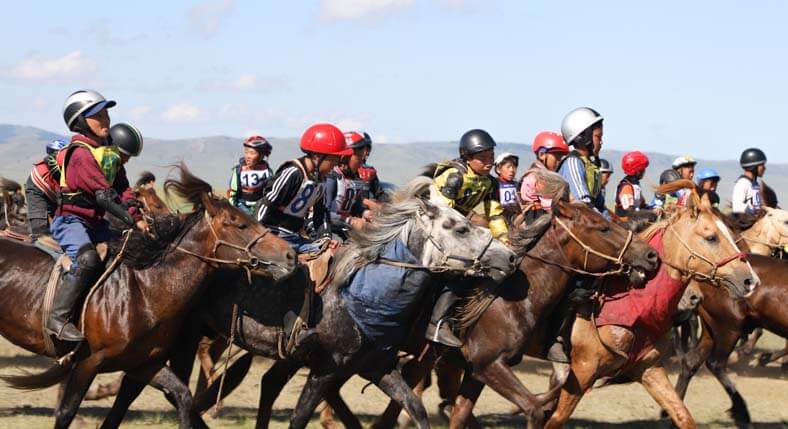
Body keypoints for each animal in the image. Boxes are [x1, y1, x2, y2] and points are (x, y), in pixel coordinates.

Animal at [0, 164, 296, 428]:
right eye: (239, 224)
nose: (290, 255)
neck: (144, 291)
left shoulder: (145, 364)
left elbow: (182, 397)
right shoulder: (87, 363)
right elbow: (65, 413)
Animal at [544, 181, 760, 428]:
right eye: (711, 237)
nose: (750, 280)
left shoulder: (649, 369)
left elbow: (682, 415)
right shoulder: (582, 372)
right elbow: (555, 419)